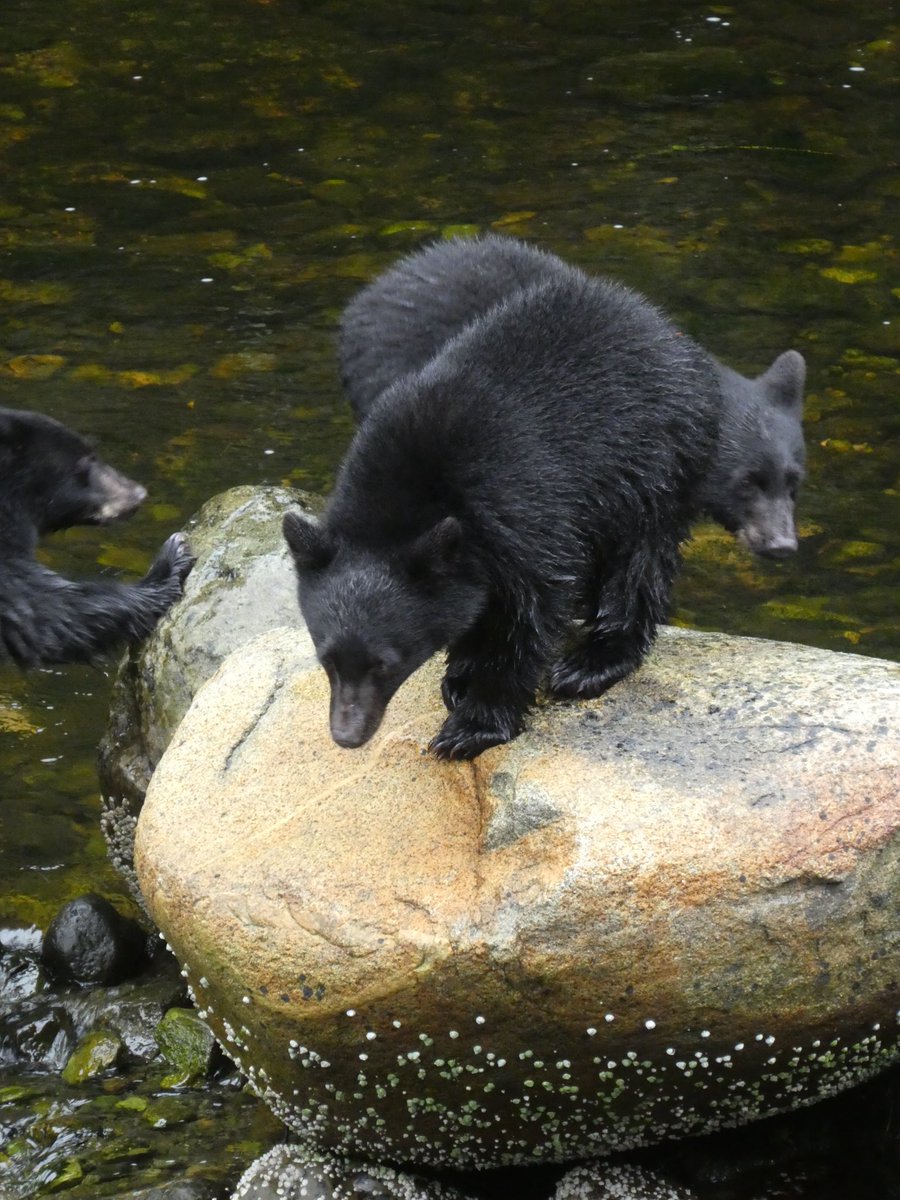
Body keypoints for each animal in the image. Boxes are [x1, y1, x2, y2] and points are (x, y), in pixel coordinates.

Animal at [285, 257, 722, 760]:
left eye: (384, 663)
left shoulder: (520, 510)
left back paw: (593, 661)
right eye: (327, 660)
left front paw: (472, 726)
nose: (347, 735)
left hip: (655, 460)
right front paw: (460, 674)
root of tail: (662, 326)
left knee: (639, 562)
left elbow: (529, 615)